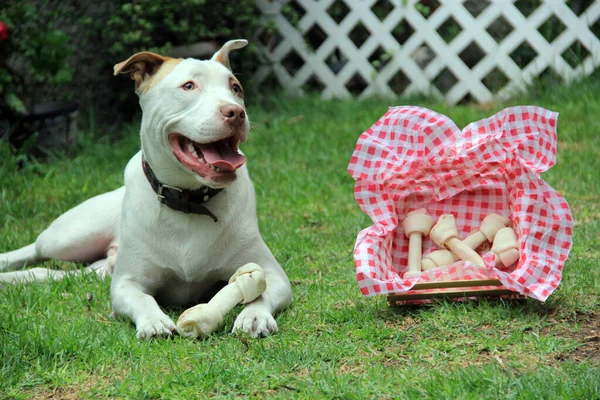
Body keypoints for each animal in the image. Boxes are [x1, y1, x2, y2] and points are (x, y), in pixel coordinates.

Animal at [0, 39, 292, 340]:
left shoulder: (273, 273)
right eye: (189, 86)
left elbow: (262, 289)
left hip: (96, 267)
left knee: (50, 272)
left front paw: (254, 316)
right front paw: (154, 321)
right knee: (36, 250)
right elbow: (142, 298)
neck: (189, 200)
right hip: (71, 236)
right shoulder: (126, 283)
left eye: (236, 88)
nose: (235, 112)